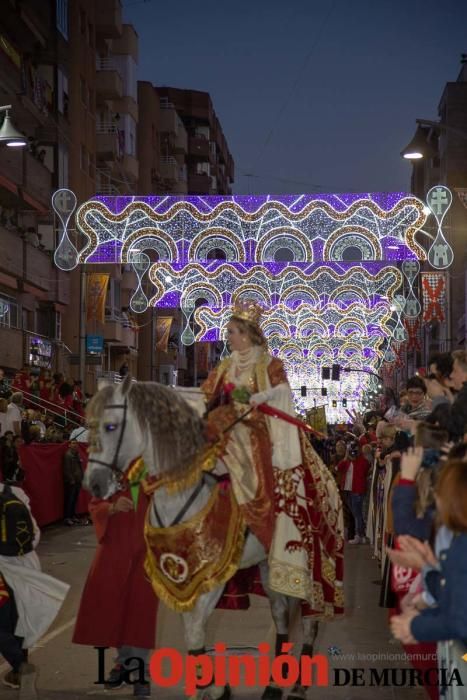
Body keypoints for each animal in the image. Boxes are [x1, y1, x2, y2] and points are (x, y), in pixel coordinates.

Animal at [85, 378, 322, 700]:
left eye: (110, 426)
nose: (94, 484)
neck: (183, 496)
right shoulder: (182, 584)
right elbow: (193, 636)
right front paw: (212, 687)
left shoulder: (212, 580)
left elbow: (195, 633)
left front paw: (211, 689)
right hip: (267, 569)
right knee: (281, 615)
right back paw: (274, 683)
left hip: (310, 567)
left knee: (310, 622)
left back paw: (297, 685)